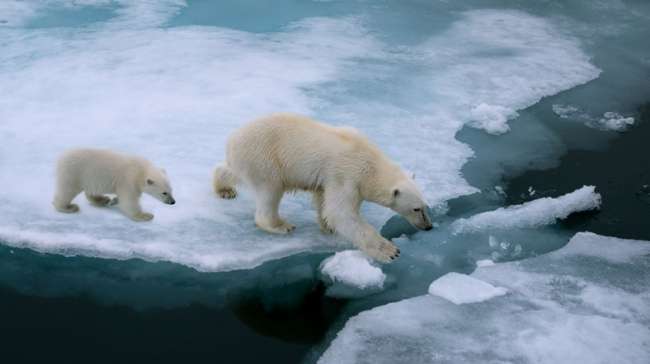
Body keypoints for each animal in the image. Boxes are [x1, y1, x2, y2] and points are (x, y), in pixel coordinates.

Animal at [213, 114, 432, 262]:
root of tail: (232, 140)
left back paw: (224, 188)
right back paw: (281, 225)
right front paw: (390, 251)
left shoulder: (331, 178)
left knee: (233, 171)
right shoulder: (347, 175)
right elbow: (341, 213)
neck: (370, 161)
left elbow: (324, 199)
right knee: (270, 191)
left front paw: (327, 226)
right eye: (416, 209)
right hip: (264, 158)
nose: (429, 226)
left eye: (425, 206)